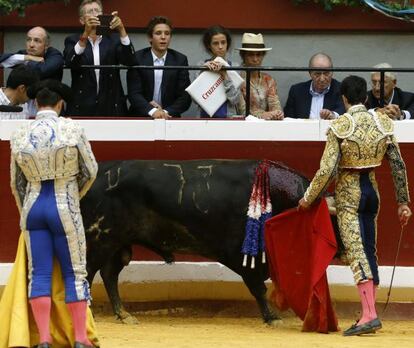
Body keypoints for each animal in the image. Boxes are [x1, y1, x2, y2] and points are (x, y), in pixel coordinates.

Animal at [79, 160, 308, 324]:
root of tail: (99, 174)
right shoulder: (242, 255)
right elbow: (259, 288)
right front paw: (272, 318)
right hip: (101, 239)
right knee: (88, 273)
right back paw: (88, 313)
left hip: (118, 243)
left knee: (109, 274)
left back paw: (124, 315)